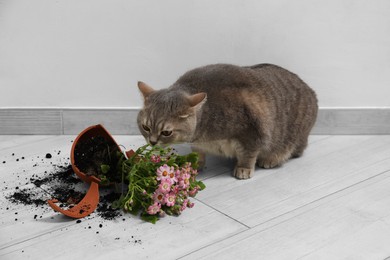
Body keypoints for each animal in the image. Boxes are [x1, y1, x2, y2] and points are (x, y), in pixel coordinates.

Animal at [136, 64, 316, 180]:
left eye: (166, 132)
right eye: (145, 127)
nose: (152, 142)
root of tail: (310, 90)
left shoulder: (252, 132)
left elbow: (249, 154)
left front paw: (244, 168)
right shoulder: (198, 143)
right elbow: (198, 152)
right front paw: (194, 163)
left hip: (292, 136)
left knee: (292, 150)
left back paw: (271, 159)